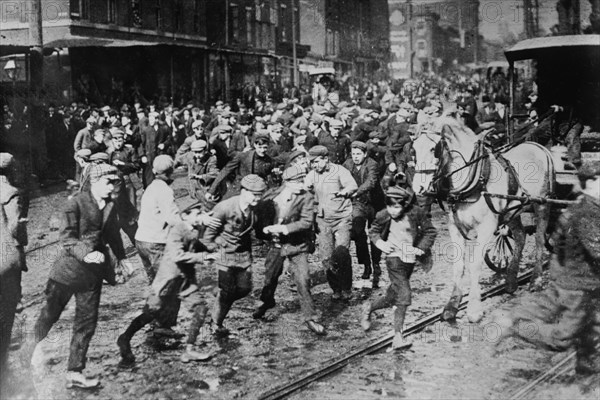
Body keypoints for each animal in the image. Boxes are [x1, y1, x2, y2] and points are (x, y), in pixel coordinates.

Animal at [412, 114, 556, 324]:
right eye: (413, 149)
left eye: (434, 149)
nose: (418, 188)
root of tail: (538, 146)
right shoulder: (454, 227)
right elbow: (459, 266)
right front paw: (451, 306)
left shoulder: (487, 226)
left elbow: (475, 264)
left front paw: (473, 309)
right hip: (512, 212)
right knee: (520, 237)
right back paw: (511, 281)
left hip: (542, 205)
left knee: (538, 239)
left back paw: (535, 279)